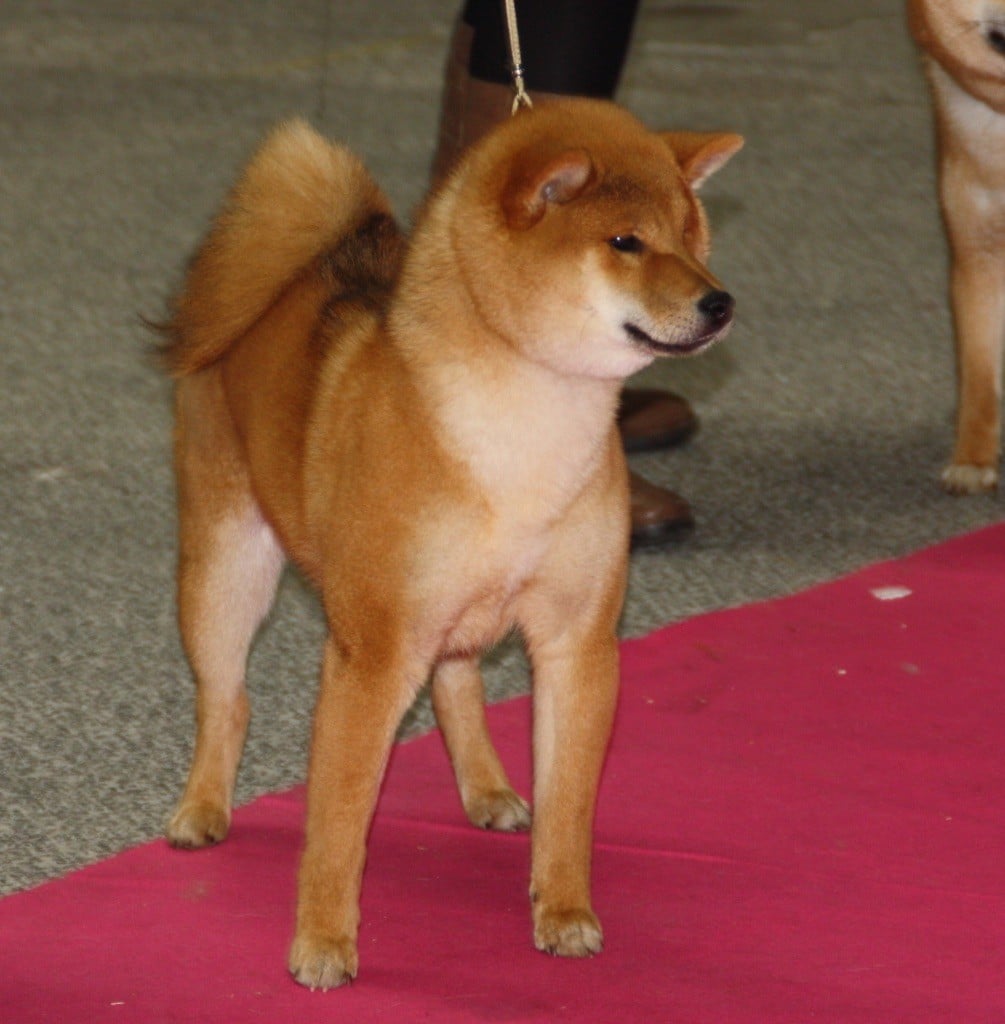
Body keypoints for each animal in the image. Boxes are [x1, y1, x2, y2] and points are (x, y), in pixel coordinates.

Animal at [159, 99, 742, 989]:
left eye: (690, 234)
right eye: (625, 242)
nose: (719, 303)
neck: (525, 428)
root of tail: (278, 282)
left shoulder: (577, 643)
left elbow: (570, 801)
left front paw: (563, 910)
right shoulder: (371, 654)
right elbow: (339, 820)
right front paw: (322, 942)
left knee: (455, 682)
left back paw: (488, 788)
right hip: (227, 570)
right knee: (226, 699)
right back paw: (202, 808)